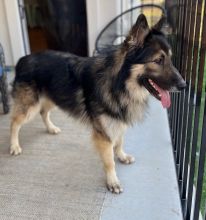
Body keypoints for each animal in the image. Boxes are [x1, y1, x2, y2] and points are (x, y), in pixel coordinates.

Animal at [9, 14, 186, 193]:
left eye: (170, 59)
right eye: (158, 60)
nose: (184, 85)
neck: (119, 84)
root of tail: (22, 59)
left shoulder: (118, 121)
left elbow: (119, 142)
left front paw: (122, 156)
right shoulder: (104, 134)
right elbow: (109, 161)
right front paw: (112, 181)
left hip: (52, 97)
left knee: (43, 112)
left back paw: (51, 128)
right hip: (30, 106)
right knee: (15, 122)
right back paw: (14, 145)